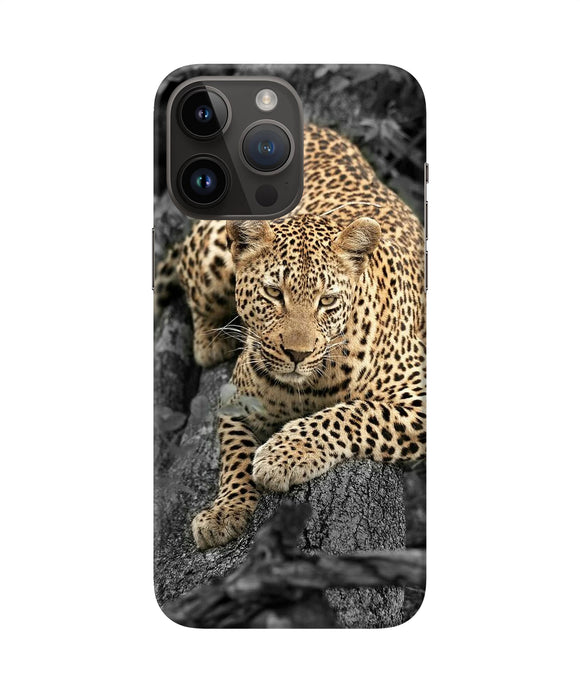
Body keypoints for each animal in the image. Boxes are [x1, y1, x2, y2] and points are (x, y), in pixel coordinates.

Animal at [156, 123, 426, 550]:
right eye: (273, 293)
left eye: (326, 300)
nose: (297, 354)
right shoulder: (235, 400)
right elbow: (234, 455)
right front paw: (224, 511)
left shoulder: (419, 396)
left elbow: (354, 413)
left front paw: (282, 455)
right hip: (212, 255)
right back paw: (211, 340)